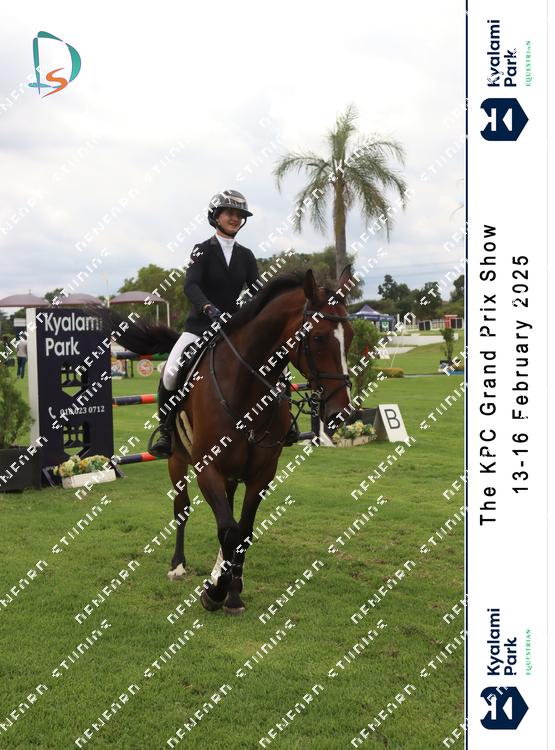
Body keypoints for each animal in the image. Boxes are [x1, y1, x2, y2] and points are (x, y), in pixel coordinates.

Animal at [105, 267, 354, 614]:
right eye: (317, 338)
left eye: (352, 336)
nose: (340, 413)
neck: (246, 388)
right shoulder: (207, 468)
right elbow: (227, 528)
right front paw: (215, 593)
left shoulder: (262, 473)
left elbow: (242, 530)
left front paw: (232, 590)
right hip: (177, 460)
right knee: (182, 508)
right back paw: (178, 566)